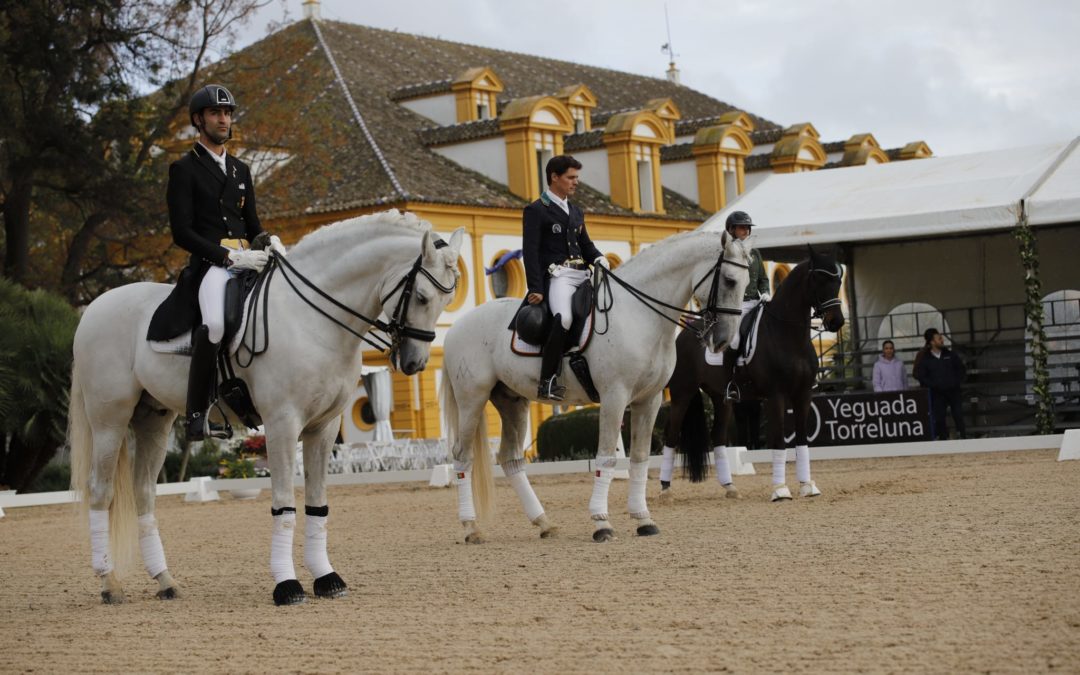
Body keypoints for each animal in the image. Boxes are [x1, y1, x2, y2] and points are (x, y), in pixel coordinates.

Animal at [67, 210, 464, 604]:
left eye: (447, 301)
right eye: (423, 297)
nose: (413, 363)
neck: (311, 319)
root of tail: (94, 309)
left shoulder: (324, 427)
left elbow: (317, 504)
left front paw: (326, 578)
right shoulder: (282, 423)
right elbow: (284, 504)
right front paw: (287, 585)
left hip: (154, 420)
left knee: (144, 494)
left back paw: (165, 581)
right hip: (110, 419)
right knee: (101, 491)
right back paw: (109, 583)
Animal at [438, 231, 751, 542]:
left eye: (747, 282)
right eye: (729, 280)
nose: (723, 340)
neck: (637, 315)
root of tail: (455, 328)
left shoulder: (648, 400)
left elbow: (639, 459)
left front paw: (643, 519)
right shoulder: (615, 396)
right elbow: (607, 459)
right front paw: (602, 522)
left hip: (512, 402)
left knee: (511, 459)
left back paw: (544, 523)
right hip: (472, 400)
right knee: (462, 457)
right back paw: (472, 528)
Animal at [656, 247, 842, 501]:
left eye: (838, 280)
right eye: (818, 279)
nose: (837, 322)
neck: (787, 335)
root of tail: (685, 334)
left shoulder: (803, 394)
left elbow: (802, 439)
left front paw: (807, 486)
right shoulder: (775, 396)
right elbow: (778, 441)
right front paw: (780, 490)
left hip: (721, 398)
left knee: (718, 438)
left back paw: (730, 487)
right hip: (682, 393)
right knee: (672, 435)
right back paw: (665, 489)